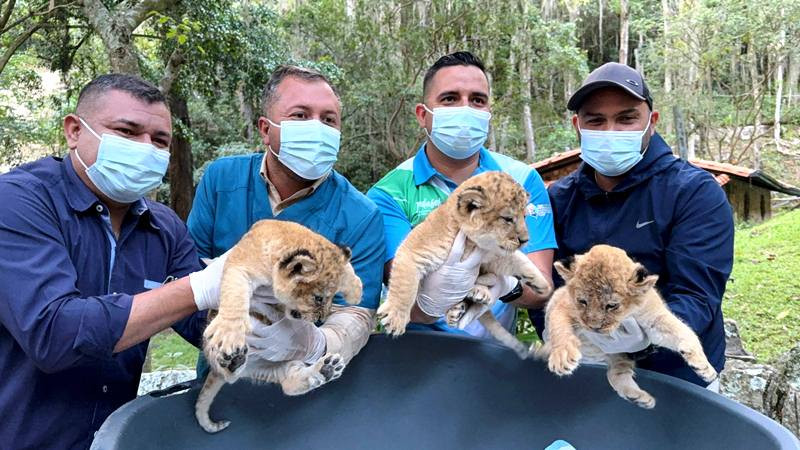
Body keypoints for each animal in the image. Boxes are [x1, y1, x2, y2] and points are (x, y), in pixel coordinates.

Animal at [195, 220, 362, 433]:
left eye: (333, 297)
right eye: (318, 298)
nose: (321, 320)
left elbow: (346, 266)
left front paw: (356, 290)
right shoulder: (239, 267)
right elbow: (235, 294)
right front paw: (229, 334)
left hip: (277, 367)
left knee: (288, 383)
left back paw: (326, 370)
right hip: (211, 346)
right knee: (229, 374)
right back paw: (232, 359)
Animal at [537, 244, 718, 408]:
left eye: (611, 305)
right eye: (582, 301)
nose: (594, 327)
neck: (625, 316)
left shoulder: (654, 319)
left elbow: (683, 331)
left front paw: (706, 368)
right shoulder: (562, 306)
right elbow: (559, 328)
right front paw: (562, 357)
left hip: (619, 356)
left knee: (616, 374)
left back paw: (639, 398)